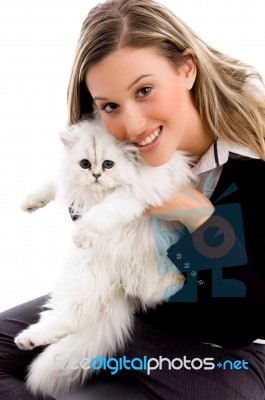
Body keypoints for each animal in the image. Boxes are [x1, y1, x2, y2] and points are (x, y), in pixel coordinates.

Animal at [14, 116, 193, 396]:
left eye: (108, 164)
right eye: (85, 164)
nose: (96, 175)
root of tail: (119, 282)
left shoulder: (133, 194)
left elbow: (103, 212)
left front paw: (81, 234)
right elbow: (55, 182)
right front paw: (30, 203)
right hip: (84, 278)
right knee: (69, 319)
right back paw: (28, 340)